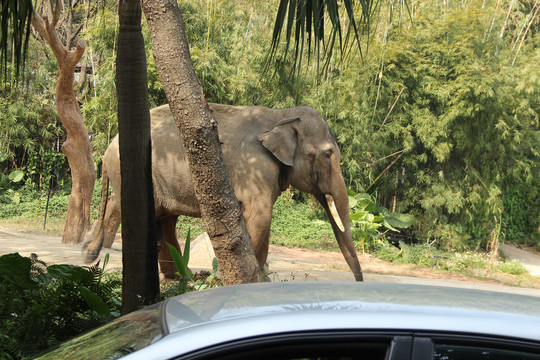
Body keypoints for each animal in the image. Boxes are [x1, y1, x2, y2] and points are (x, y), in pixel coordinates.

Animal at [84, 102, 362, 282]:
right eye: (328, 154)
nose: (358, 281)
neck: (280, 115)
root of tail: (108, 148)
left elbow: (264, 221)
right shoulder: (255, 165)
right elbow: (260, 217)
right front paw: (252, 280)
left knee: (166, 220)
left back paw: (181, 277)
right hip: (131, 173)